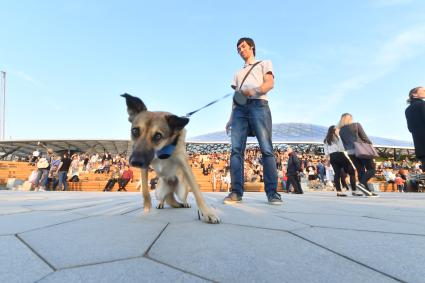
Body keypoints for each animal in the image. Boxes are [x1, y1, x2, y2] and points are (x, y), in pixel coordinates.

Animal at [119, 94, 219, 225]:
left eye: (158, 136)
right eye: (135, 131)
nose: (135, 162)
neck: (163, 150)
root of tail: (171, 189)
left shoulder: (184, 164)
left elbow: (198, 193)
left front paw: (207, 213)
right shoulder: (145, 166)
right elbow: (145, 190)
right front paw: (146, 208)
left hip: (182, 190)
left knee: (183, 197)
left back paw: (185, 203)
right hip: (158, 191)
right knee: (164, 197)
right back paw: (161, 203)